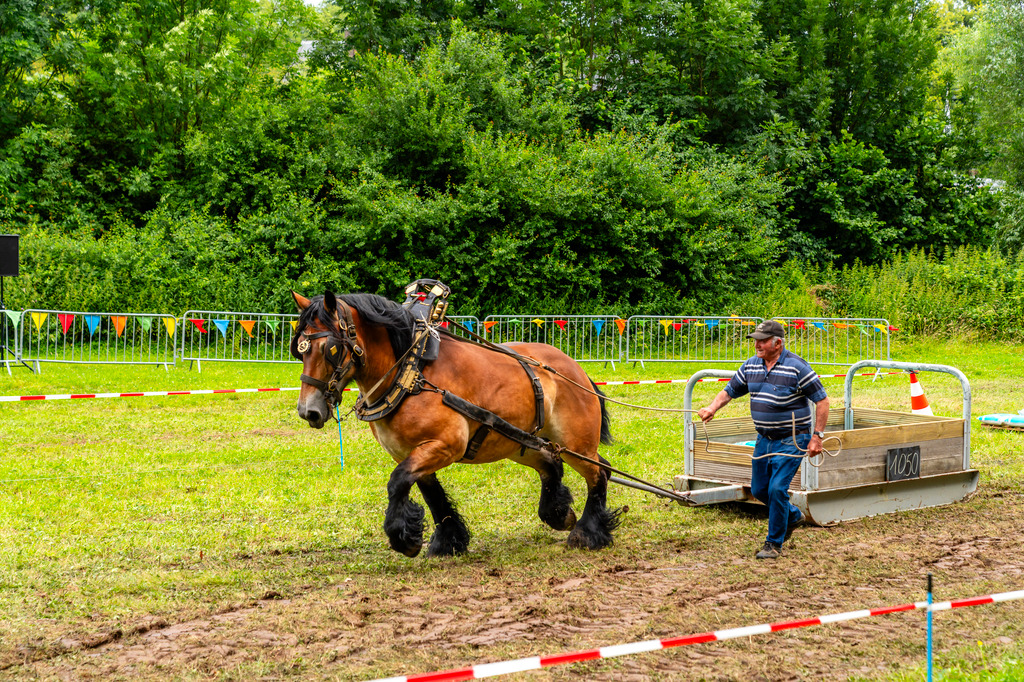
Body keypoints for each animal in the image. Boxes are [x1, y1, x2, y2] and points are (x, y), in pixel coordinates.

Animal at [290, 288, 622, 557]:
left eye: (331, 349)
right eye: (299, 350)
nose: (309, 411)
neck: (411, 374)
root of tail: (575, 369)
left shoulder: (446, 445)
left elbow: (397, 481)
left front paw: (403, 539)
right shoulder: (411, 453)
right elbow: (430, 494)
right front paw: (447, 541)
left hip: (574, 443)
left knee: (600, 472)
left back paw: (588, 532)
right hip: (520, 443)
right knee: (553, 464)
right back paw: (558, 514)